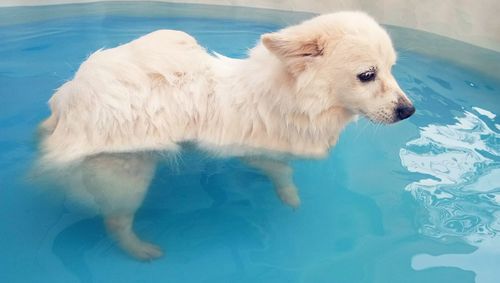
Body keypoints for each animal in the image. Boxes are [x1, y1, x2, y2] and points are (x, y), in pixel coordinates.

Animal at [38, 10, 414, 260]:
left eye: (391, 69)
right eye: (367, 75)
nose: (409, 110)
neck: (290, 96)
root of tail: (69, 95)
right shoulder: (258, 152)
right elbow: (282, 172)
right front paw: (290, 196)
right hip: (127, 173)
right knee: (116, 220)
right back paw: (140, 249)